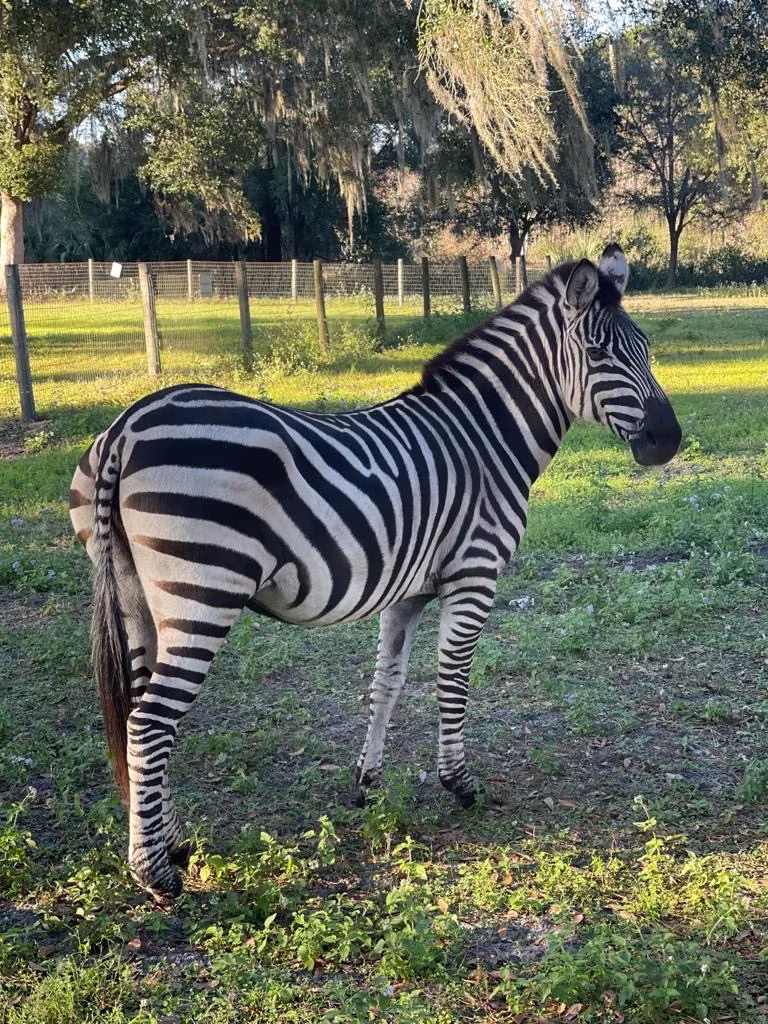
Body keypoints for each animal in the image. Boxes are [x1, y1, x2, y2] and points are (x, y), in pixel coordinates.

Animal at [69, 245, 681, 901]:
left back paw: (173, 842)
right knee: (149, 723)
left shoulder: (407, 591)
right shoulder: (474, 575)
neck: (487, 440)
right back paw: (154, 874)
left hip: (137, 597)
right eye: (599, 354)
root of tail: (127, 427)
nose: (668, 441)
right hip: (201, 594)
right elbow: (452, 681)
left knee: (139, 715)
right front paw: (460, 784)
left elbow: (386, 683)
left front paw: (367, 783)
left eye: (646, 349)